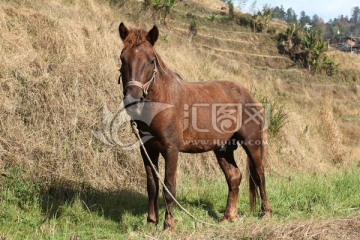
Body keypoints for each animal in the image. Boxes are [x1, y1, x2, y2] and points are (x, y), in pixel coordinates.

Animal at [116, 23, 272, 231]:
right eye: (122, 58)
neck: (163, 101)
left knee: (260, 173)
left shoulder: (171, 150)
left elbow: (169, 186)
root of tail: (249, 96)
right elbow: (152, 186)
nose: (133, 98)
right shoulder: (147, 149)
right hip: (222, 148)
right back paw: (228, 216)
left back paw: (265, 212)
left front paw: (168, 225)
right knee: (234, 176)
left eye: (151, 60)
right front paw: (151, 222)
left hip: (251, 143)